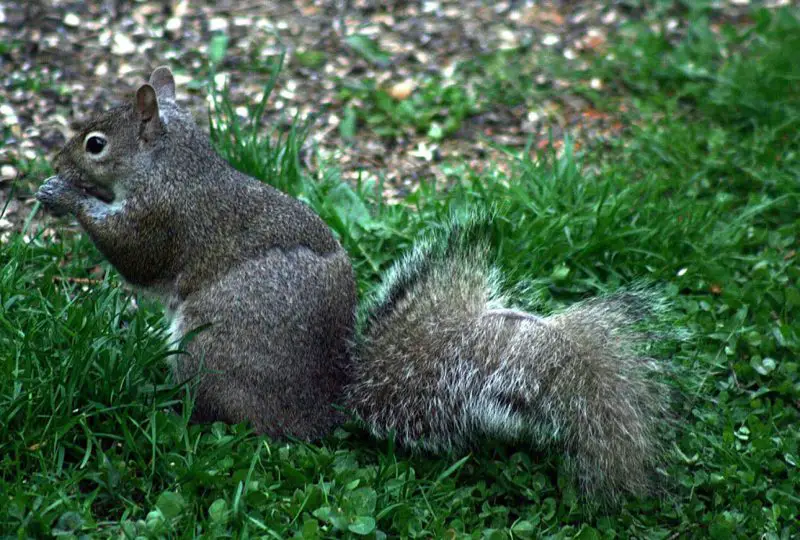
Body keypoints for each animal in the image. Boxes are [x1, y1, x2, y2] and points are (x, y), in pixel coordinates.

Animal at [36, 66, 678, 503]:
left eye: (95, 143)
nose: (57, 162)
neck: (174, 164)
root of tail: (325, 412)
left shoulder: (164, 219)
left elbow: (136, 255)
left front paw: (64, 197)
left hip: (209, 349)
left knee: (226, 416)